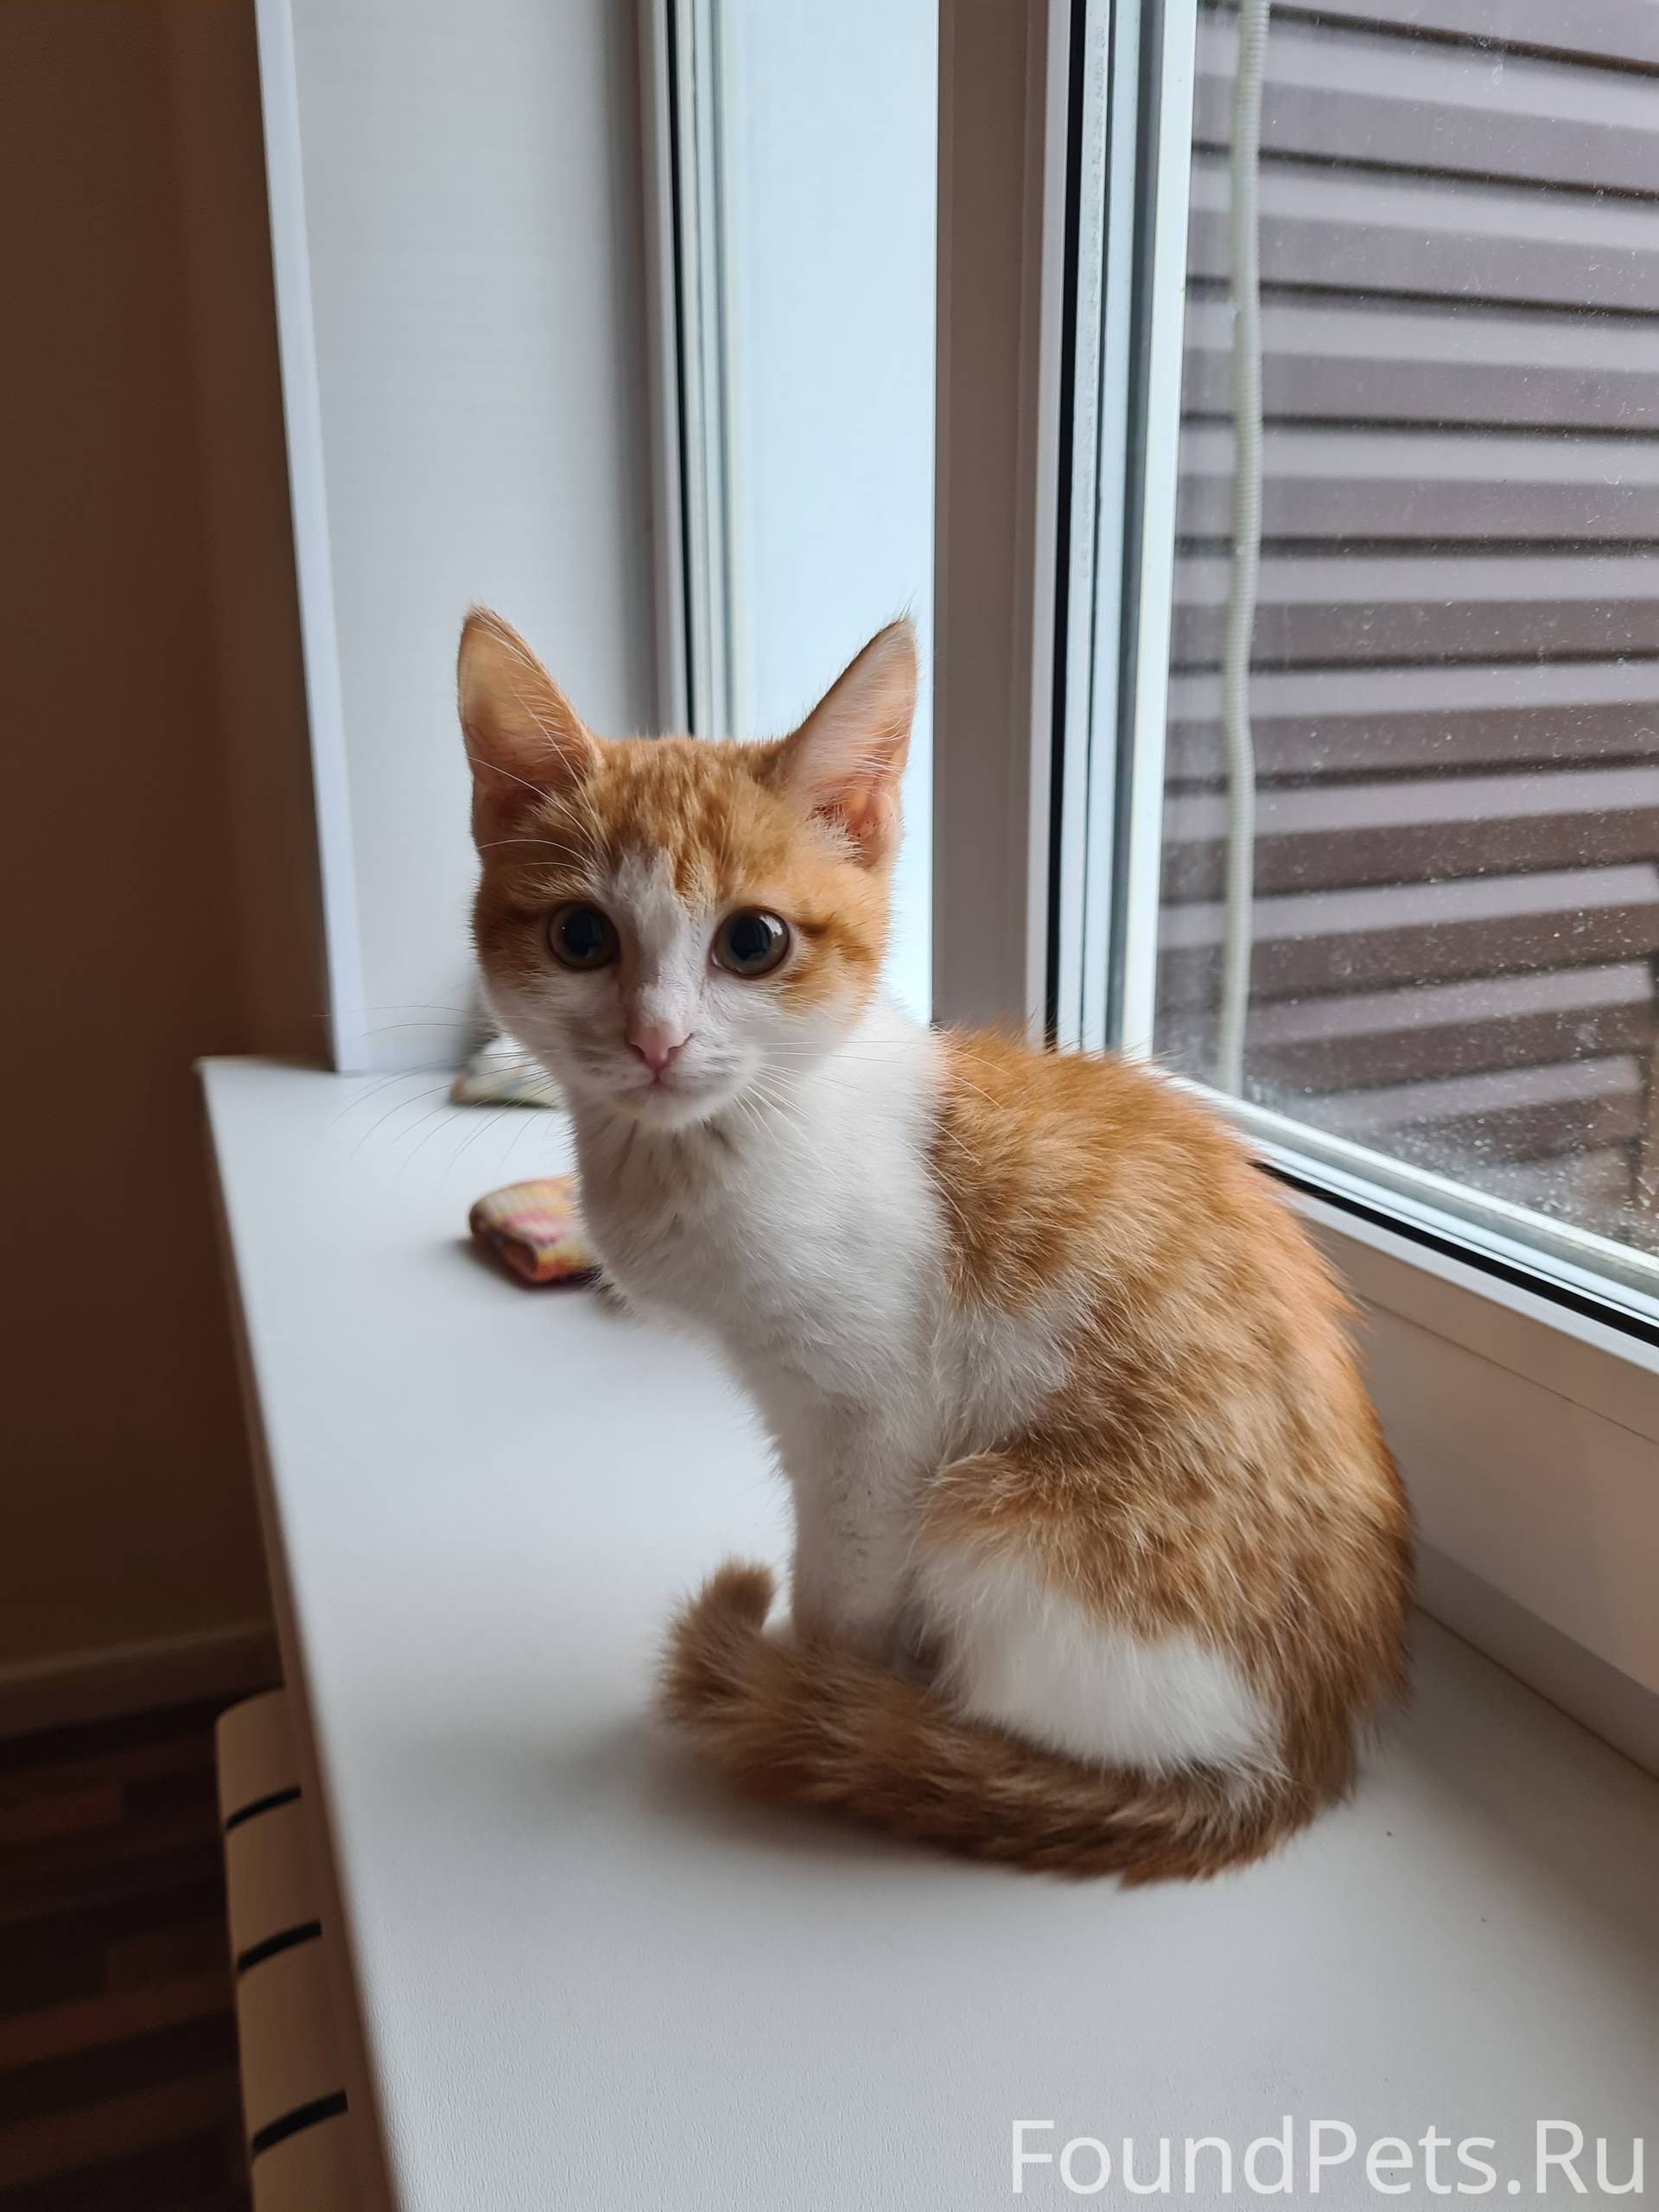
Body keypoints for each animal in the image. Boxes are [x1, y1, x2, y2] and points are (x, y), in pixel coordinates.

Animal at [459, 605, 1413, 1881]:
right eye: (579, 935)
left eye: (752, 942)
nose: (657, 1040)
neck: (720, 1145)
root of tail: (1312, 1750)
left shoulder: (877, 1419)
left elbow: (845, 1579)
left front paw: (819, 1690)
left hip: (996, 1530)